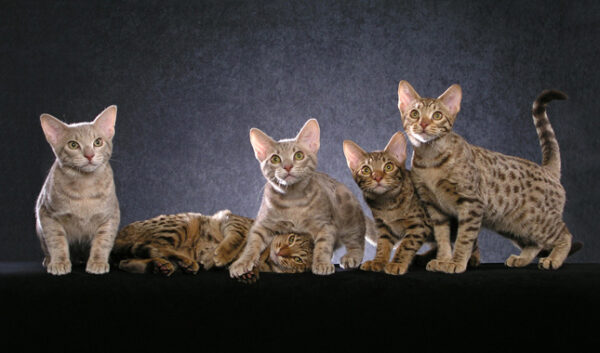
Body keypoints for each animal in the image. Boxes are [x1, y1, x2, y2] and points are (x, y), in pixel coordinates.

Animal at [35, 104, 120, 276]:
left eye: (98, 142)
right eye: (73, 145)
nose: (89, 155)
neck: (84, 188)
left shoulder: (110, 216)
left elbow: (103, 241)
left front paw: (98, 262)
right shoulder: (47, 214)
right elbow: (56, 240)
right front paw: (59, 263)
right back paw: (49, 260)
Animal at [110, 209, 314, 280]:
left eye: (297, 259)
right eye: (291, 239)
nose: (281, 252)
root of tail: (119, 235)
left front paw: (248, 271)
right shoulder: (233, 219)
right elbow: (237, 237)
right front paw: (221, 254)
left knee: (127, 261)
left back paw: (159, 266)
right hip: (180, 225)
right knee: (157, 247)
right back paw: (185, 262)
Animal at [229, 118, 366, 278]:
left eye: (299, 155)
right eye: (275, 159)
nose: (287, 166)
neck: (293, 199)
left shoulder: (326, 225)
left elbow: (323, 244)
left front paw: (322, 263)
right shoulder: (263, 224)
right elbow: (252, 242)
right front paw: (242, 262)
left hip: (350, 218)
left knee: (356, 241)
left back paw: (352, 256)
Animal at [344, 131, 480, 274]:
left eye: (388, 167)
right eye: (366, 170)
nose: (377, 177)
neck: (387, 204)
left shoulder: (419, 225)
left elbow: (405, 245)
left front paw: (396, 263)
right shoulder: (385, 227)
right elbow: (382, 245)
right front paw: (378, 261)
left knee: (469, 238)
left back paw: (472, 258)